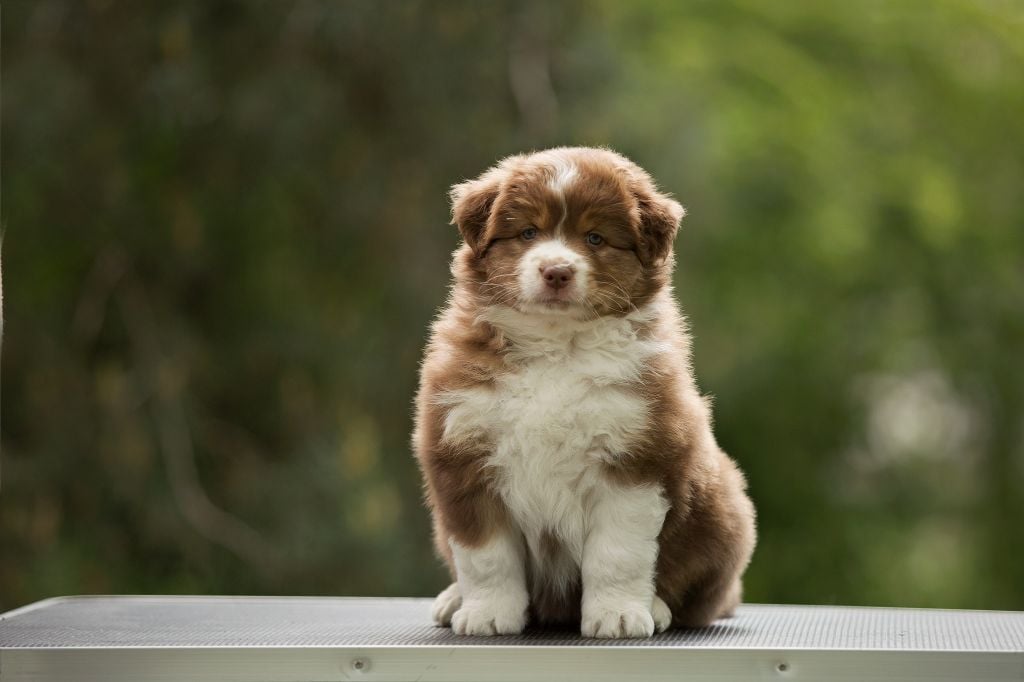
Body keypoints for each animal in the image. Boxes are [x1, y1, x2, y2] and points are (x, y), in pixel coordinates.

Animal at [411, 146, 757, 634]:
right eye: (528, 232)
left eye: (595, 238)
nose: (556, 271)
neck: (556, 347)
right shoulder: (463, 455)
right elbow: (486, 556)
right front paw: (488, 614)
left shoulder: (637, 459)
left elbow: (617, 553)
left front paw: (618, 616)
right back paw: (453, 598)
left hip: (723, 510)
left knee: (703, 595)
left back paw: (656, 606)